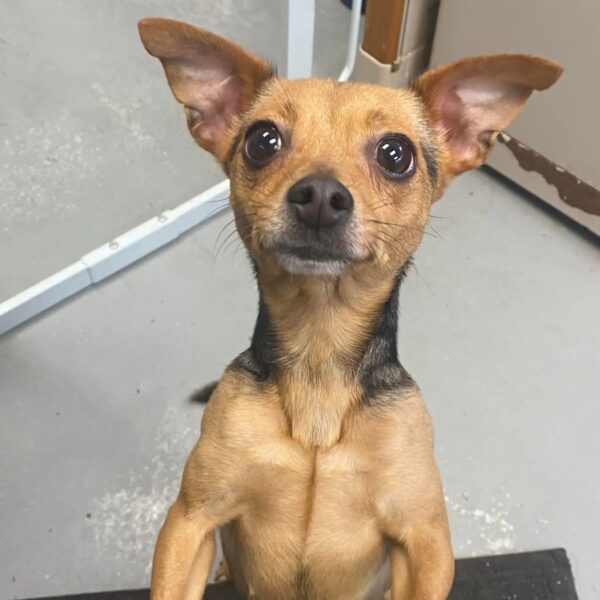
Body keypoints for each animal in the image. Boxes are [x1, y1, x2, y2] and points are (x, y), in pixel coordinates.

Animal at [138, 18, 560, 600]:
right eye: (262, 141)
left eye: (396, 154)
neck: (321, 353)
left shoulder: (425, 544)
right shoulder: (190, 521)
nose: (319, 194)